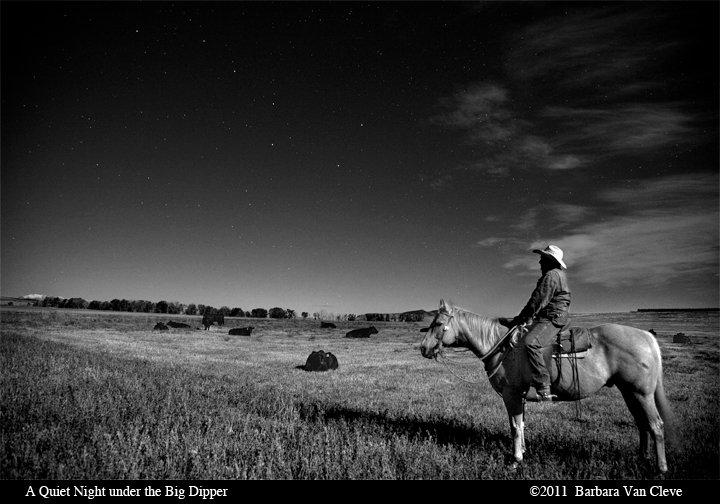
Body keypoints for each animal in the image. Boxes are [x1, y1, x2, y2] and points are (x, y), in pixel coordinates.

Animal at [420, 300, 672, 472]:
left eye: (439, 323)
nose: (423, 348)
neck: (503, 347)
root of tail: (646, 337)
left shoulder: (511, 395)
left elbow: (515, 427)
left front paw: (516, 460)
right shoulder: (519, 397)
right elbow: (520, 424)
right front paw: (522, 451)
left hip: (641, 393)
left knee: (656, 425)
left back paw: (660, 468)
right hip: (629, 392)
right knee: (642, 424)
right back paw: (642, 458)